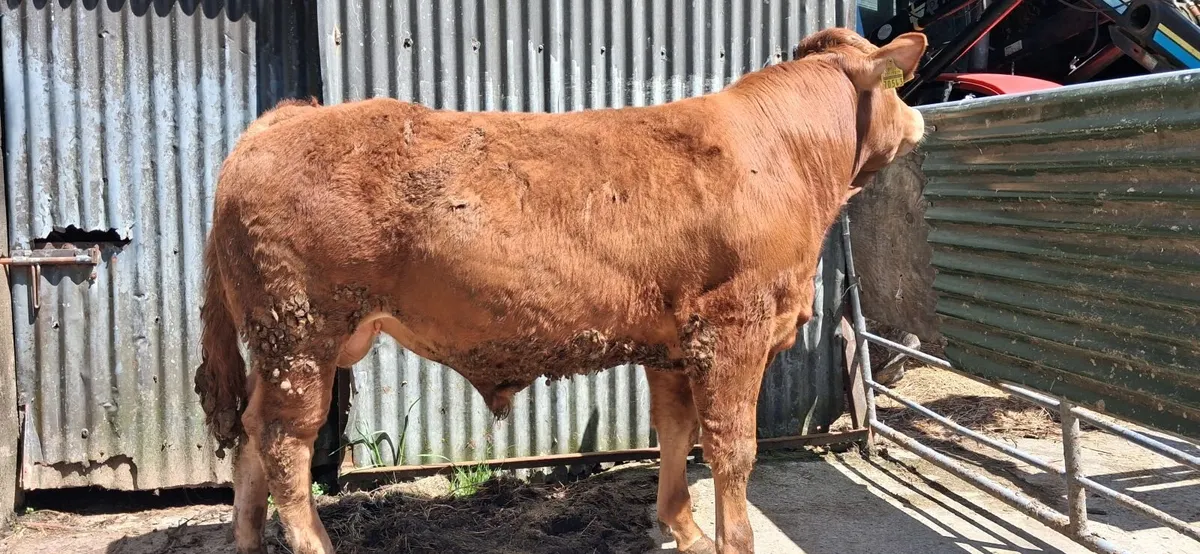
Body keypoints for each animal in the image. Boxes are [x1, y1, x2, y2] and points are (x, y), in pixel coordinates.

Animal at [195, 27, 928, 554]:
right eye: (897, 88)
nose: (920, 120)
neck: (782, 154)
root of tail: (280, 121)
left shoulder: (673, 344)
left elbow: (675, 431)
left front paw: (681, 528)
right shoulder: (733, 329)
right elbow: (731, 449)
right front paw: (730, 541)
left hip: (289, 342)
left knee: (253, 437)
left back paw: (249, 542)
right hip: (303, 334)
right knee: (283, 441)